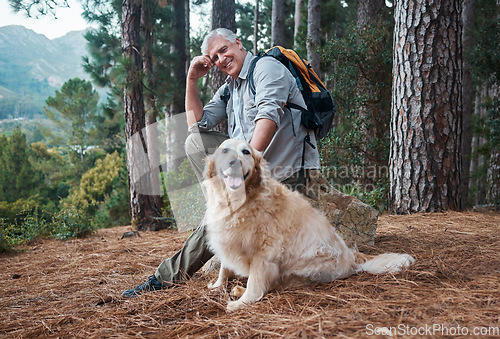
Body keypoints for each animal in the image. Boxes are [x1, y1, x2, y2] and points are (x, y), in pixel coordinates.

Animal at [203, 140, 414, 314]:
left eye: (246, 151)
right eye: (224, 150)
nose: (234, 162)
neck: (240, 201)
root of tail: (353, 260)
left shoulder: (265, 251)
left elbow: (255, 282)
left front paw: (242, 303)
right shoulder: (227, 237)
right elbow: (224, 268)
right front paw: (218, 285)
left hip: (308, 257)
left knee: (279, 282)